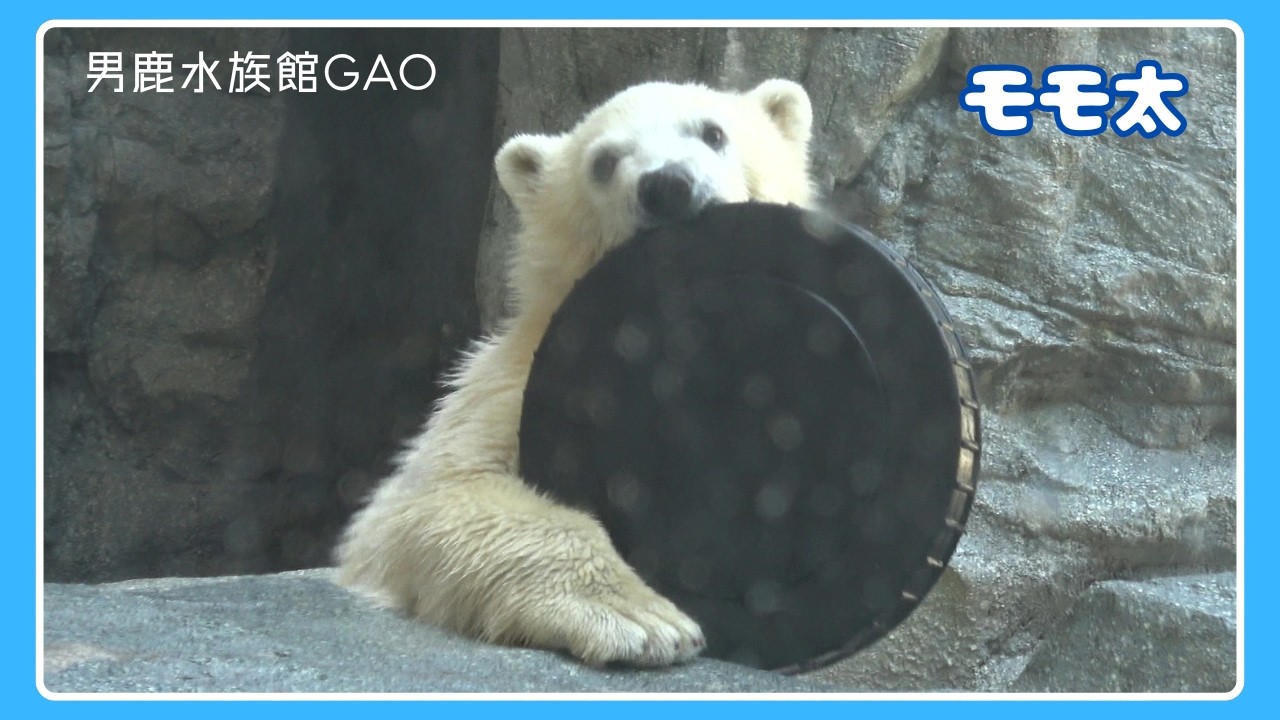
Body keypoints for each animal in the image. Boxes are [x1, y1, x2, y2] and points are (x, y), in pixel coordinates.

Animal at [335, 79, 816, 667]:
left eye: (713, 132)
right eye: (604, 162)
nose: (667, 187)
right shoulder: (516, 383)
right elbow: (437, 497)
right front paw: (644, 619)